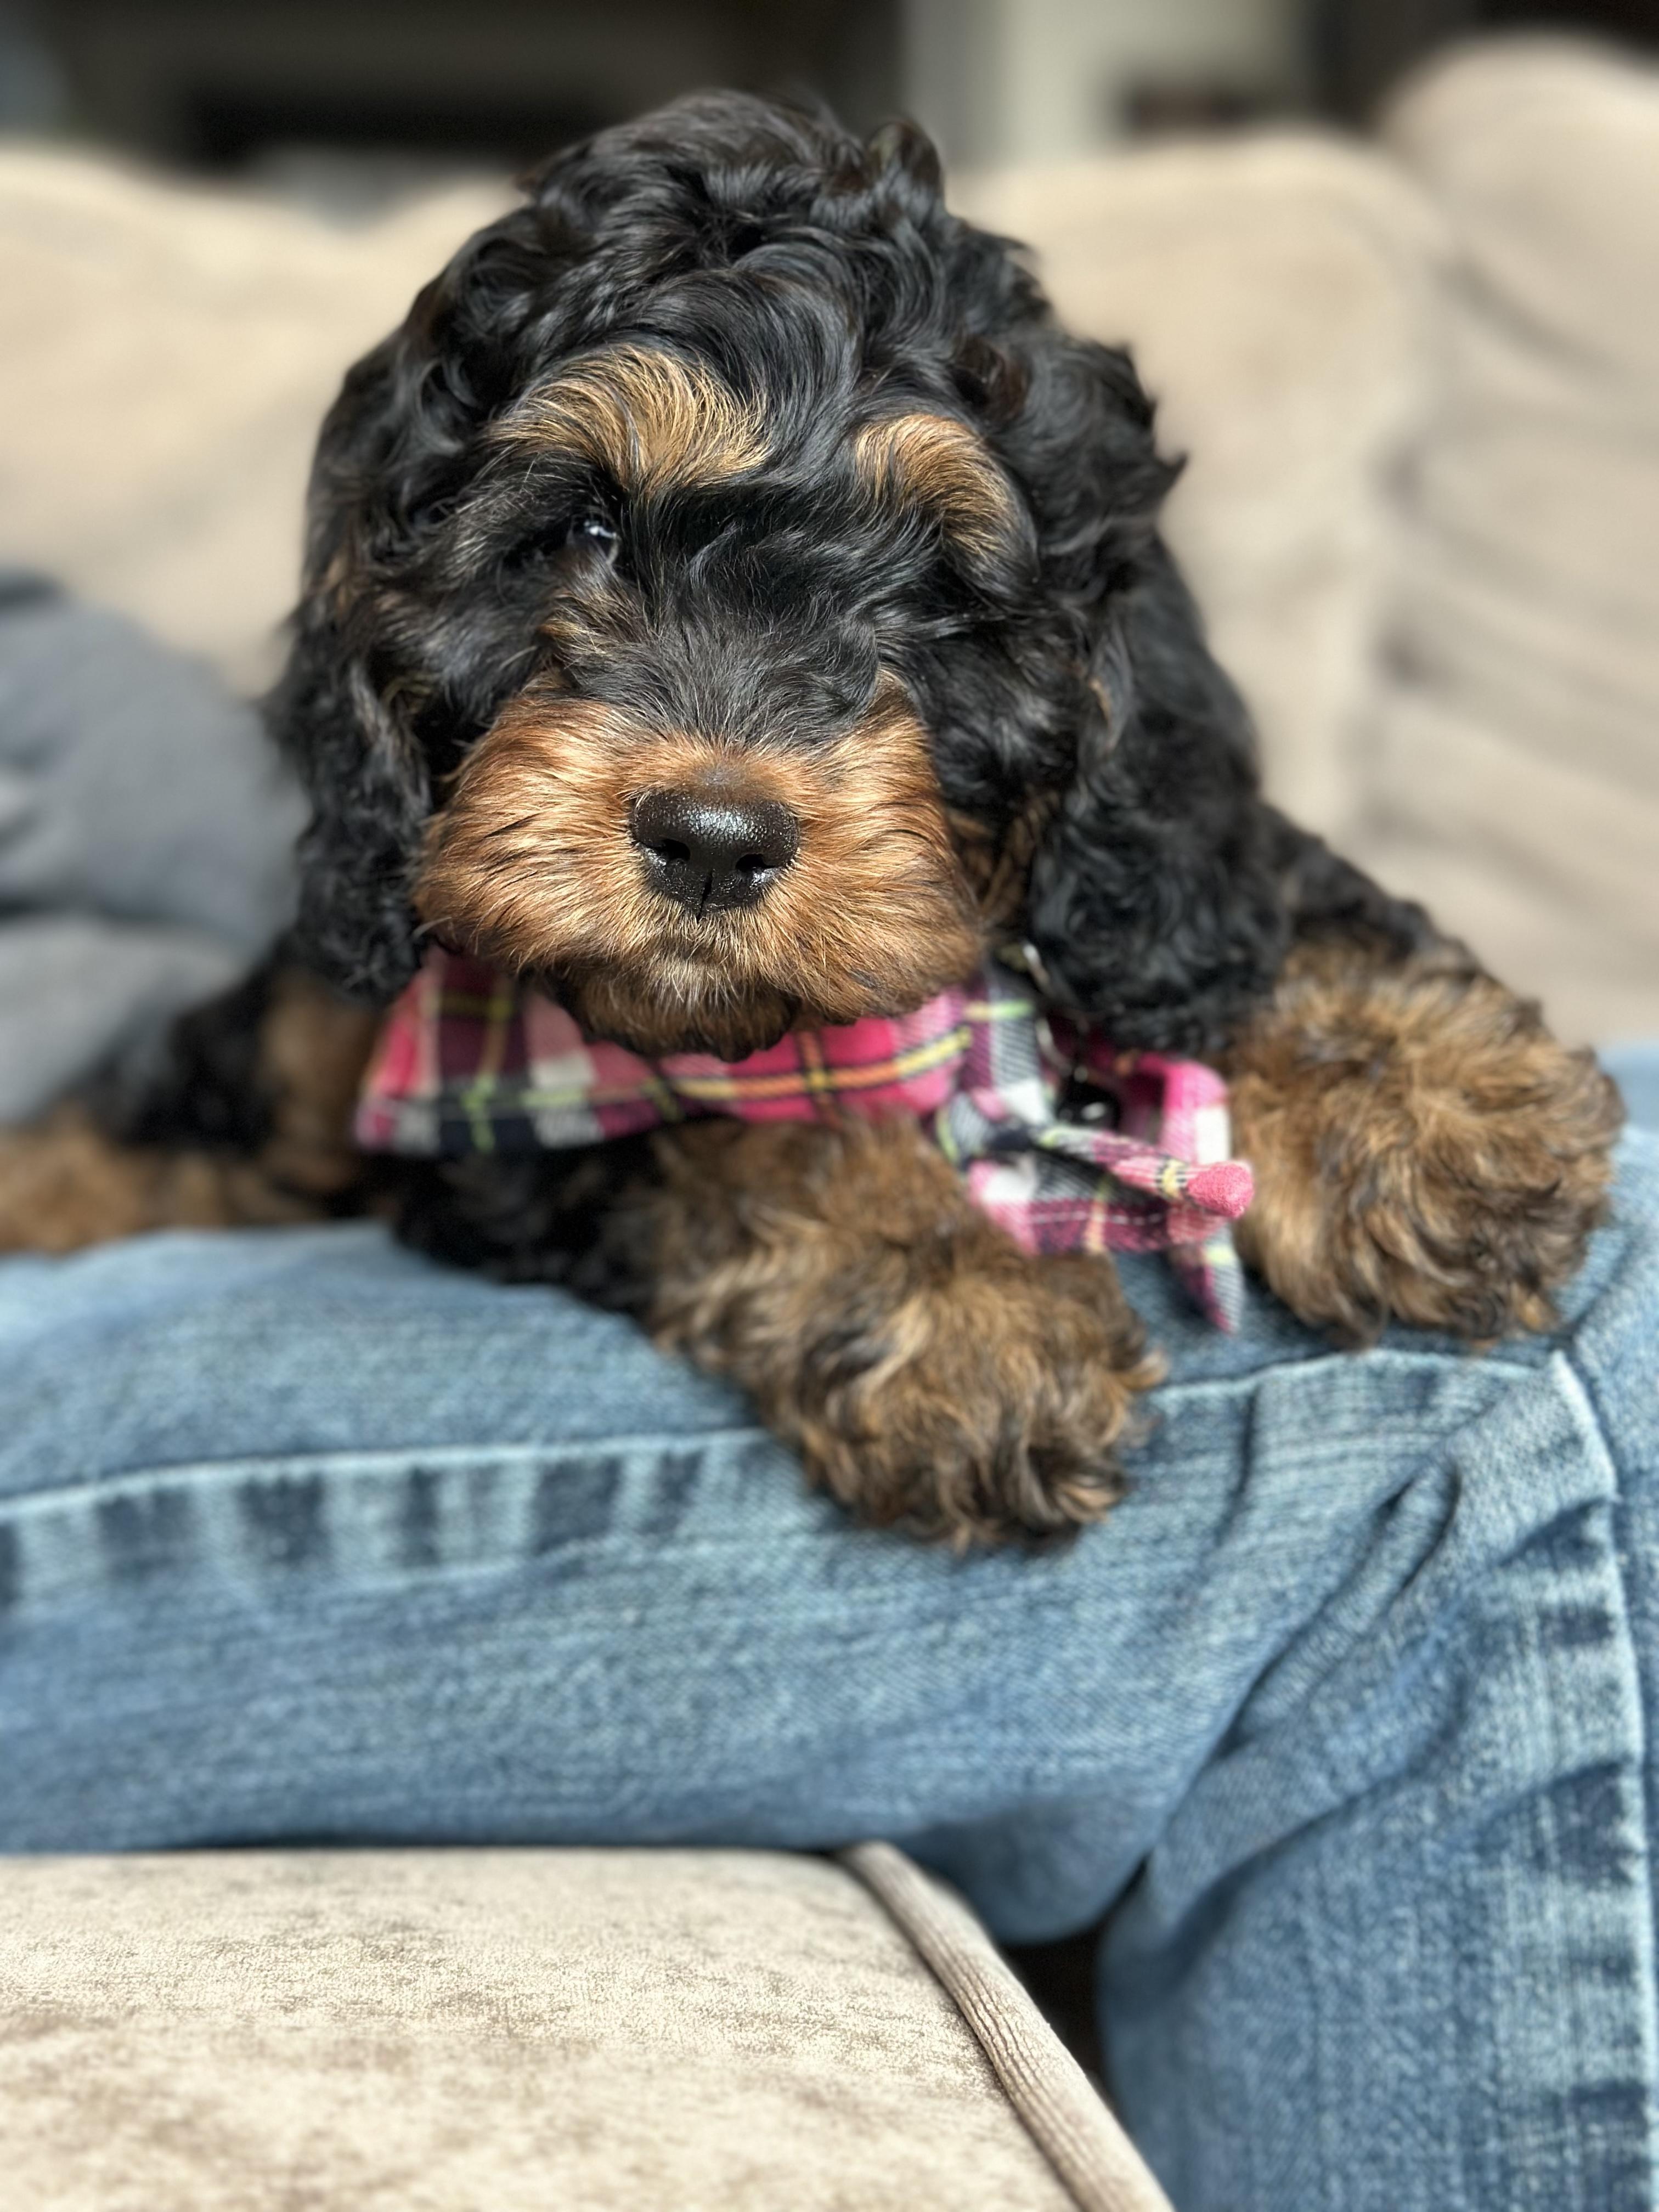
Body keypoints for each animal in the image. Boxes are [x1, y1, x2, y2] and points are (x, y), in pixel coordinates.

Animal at [0, 92, 1622, 1544]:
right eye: (584, 533)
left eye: (936, 595)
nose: (713, 839)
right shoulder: (507, 1122)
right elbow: (746, 1142)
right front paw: (964, 1307)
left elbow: (1216, 901)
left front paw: (1419, 1102)